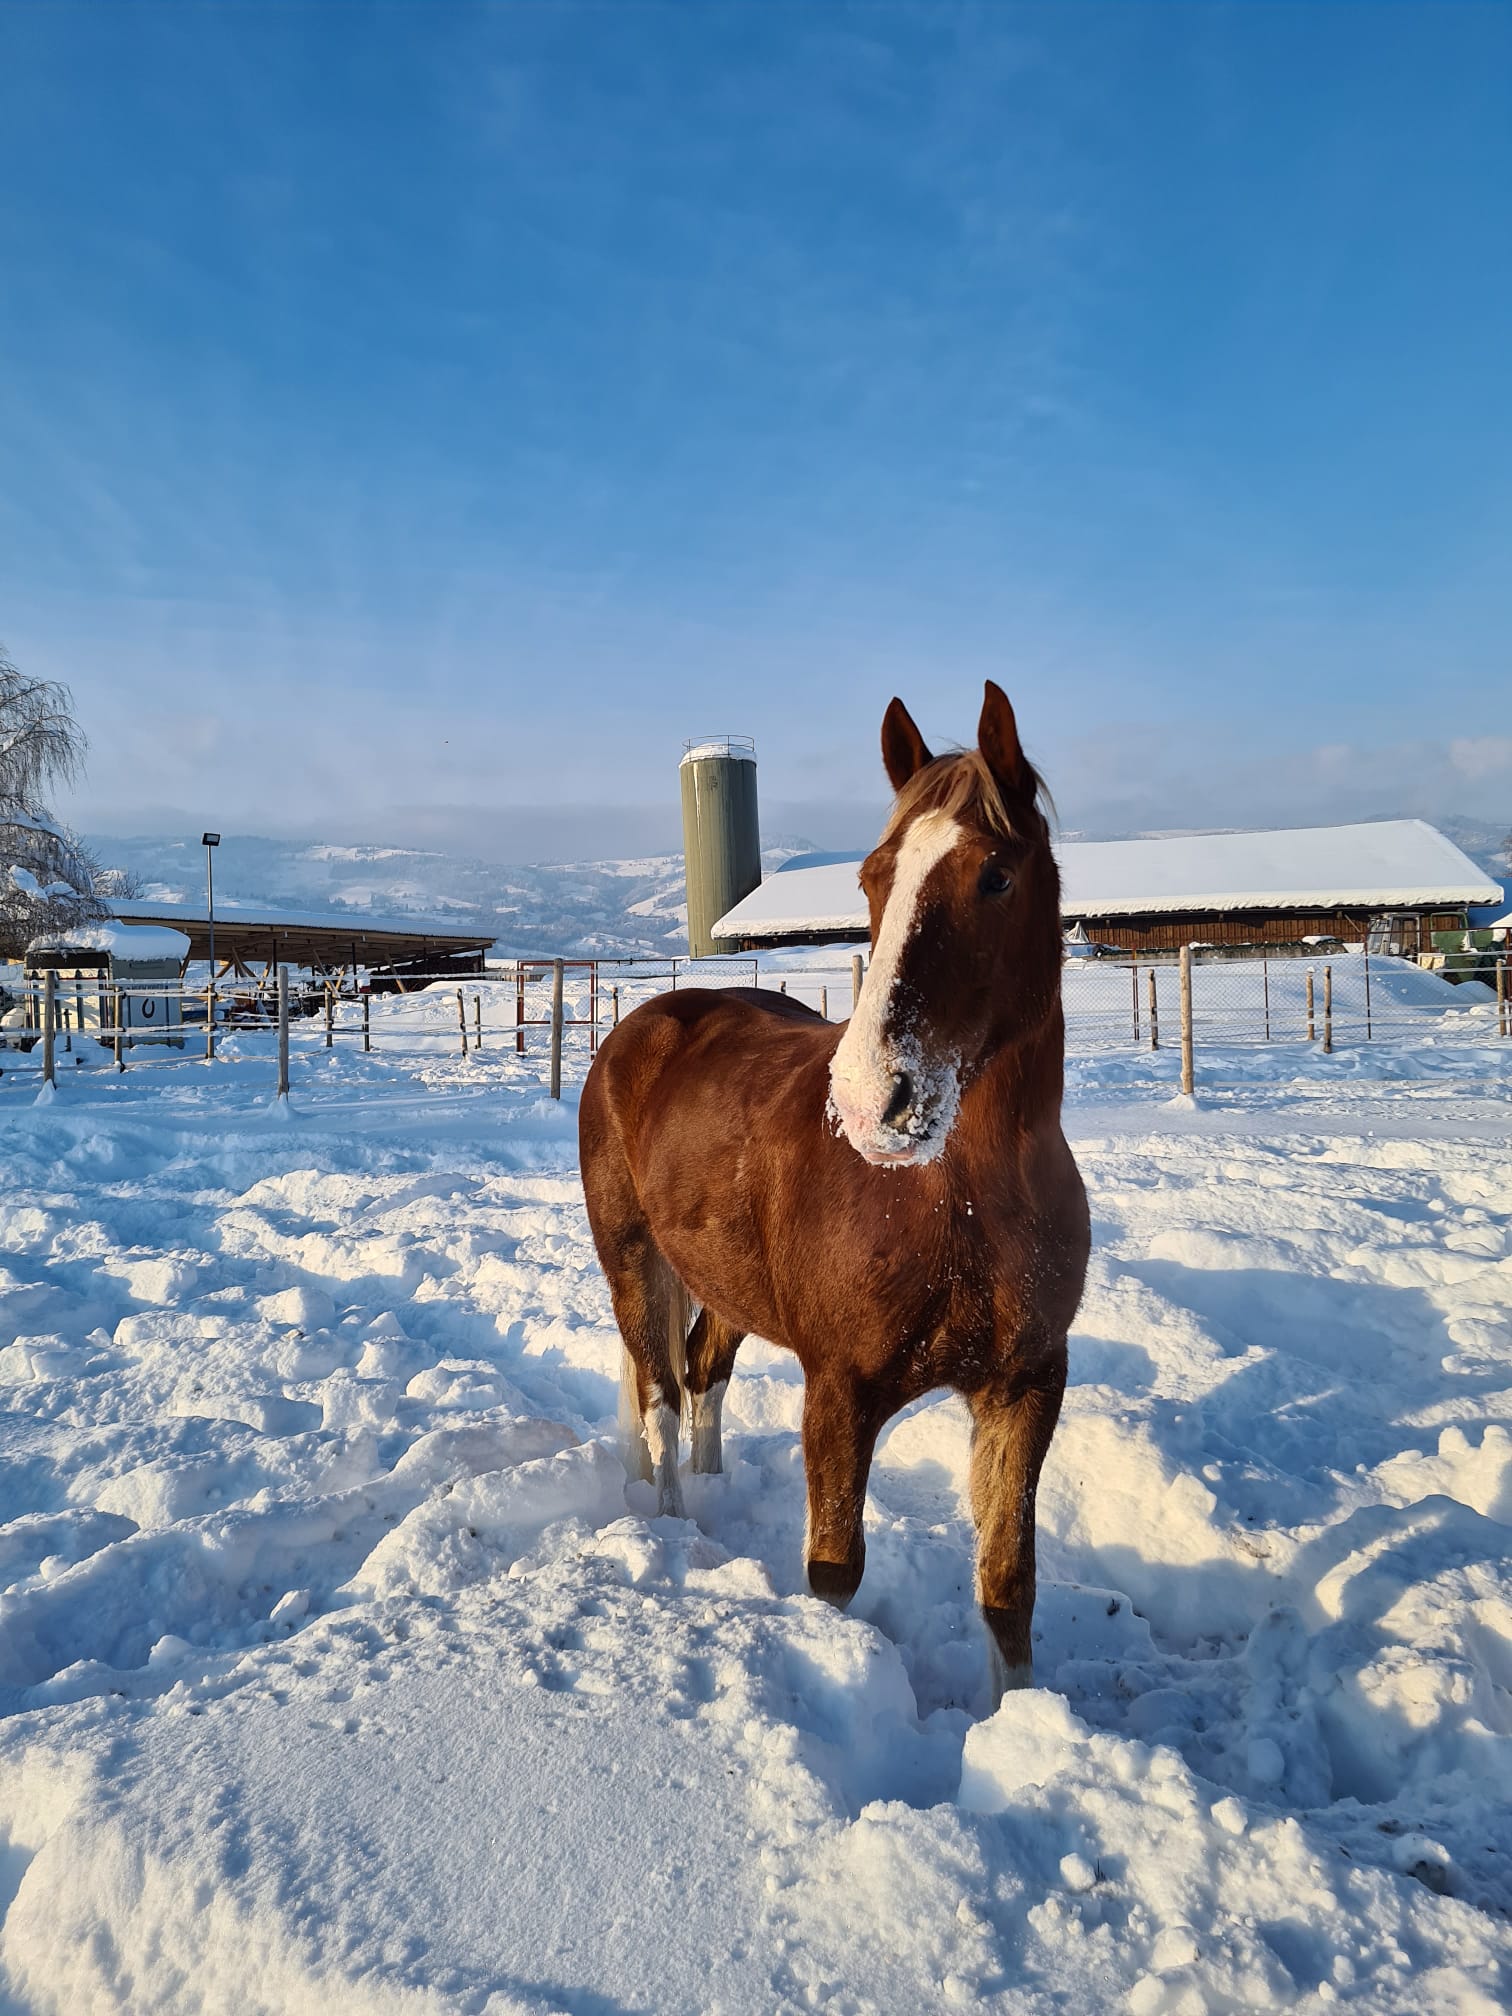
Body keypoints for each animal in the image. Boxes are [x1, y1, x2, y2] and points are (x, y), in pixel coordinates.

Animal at [580, 689, 1088, 1701]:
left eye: (997, 877)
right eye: (872, 879)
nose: (868, 1098)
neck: (961, 1205)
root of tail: (642, 1025)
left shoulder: (1025, 1388)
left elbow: (1007, 1587)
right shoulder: (841, 1391)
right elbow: (833, 1573)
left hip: (725, 1283)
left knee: (702, 1376)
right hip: (633, 1260)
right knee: (658, 1391)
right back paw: (676, 1529)